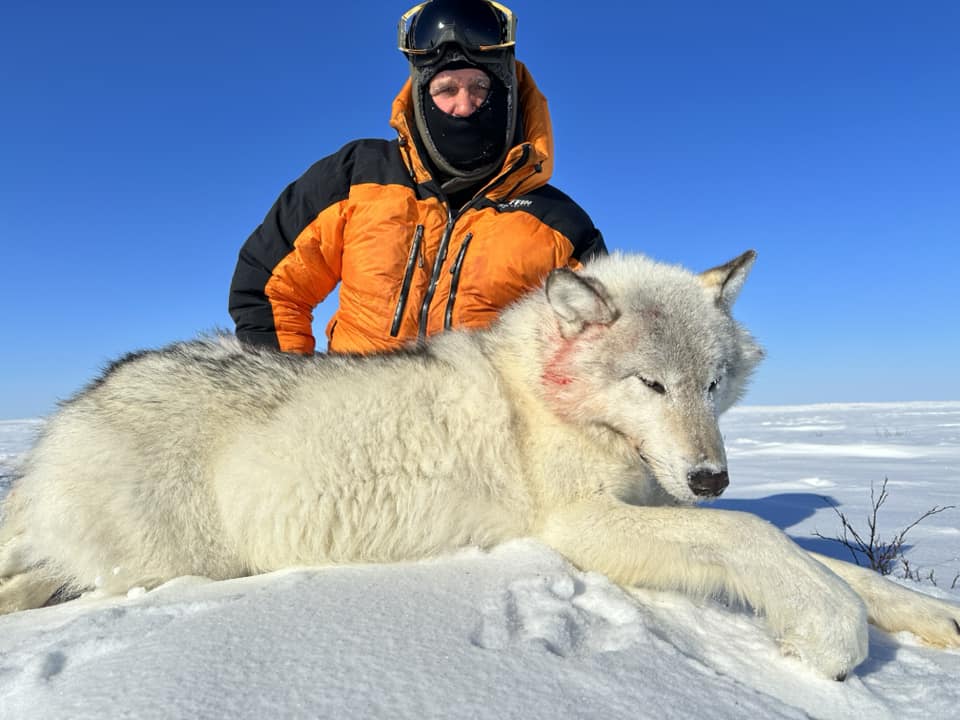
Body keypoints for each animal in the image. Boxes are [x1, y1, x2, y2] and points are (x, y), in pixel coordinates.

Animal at [1, 251, 958, 679]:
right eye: (650, 383)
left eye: (713, 384)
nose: (711, 478)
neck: (551, 393)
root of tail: (64, 421)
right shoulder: (583, 525)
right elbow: (766, 540)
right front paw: (830, 635)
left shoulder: (656, 499)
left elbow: (815, 556)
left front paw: (927, 617)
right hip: (167, 563)